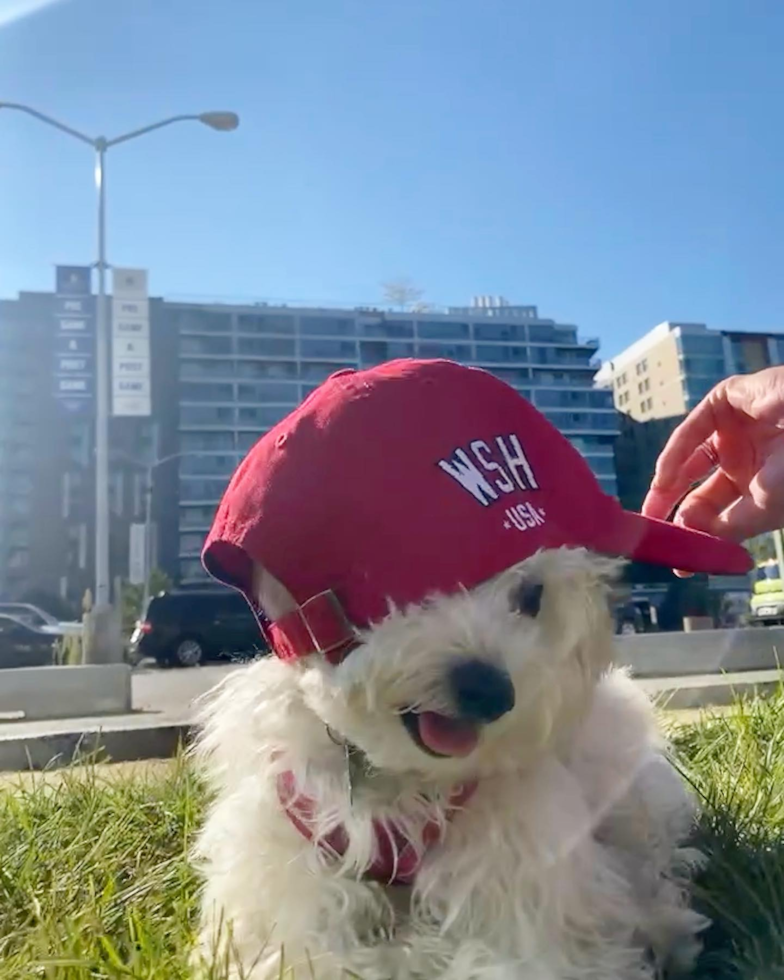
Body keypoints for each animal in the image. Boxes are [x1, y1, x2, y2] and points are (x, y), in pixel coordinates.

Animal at [193, 552, 708, 980]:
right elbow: (305, 953)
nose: (489, 690)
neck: (400, 777)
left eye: (531, 595)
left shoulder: (526, 878)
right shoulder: (281, 879)